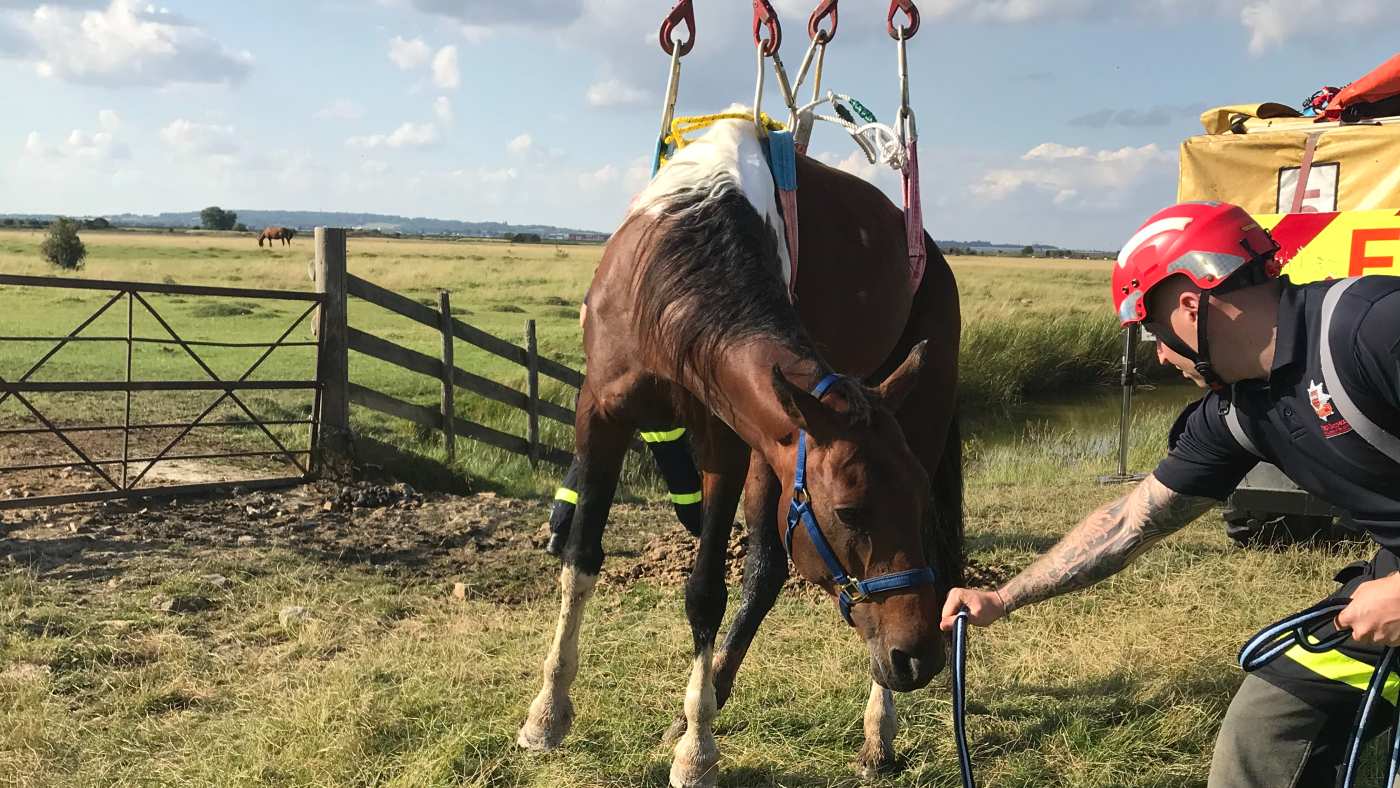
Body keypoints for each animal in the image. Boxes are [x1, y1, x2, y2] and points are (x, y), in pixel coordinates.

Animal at [517, 118, 962, 786]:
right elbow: (580, 560)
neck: (673, 278)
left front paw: (696, 749)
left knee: (776, 569)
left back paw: (876, 727)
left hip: (918, 418)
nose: (918, 657)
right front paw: (547, 713)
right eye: (850, 513)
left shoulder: (721, 441)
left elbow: (705, 592)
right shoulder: (600, 414)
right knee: (766, 568)